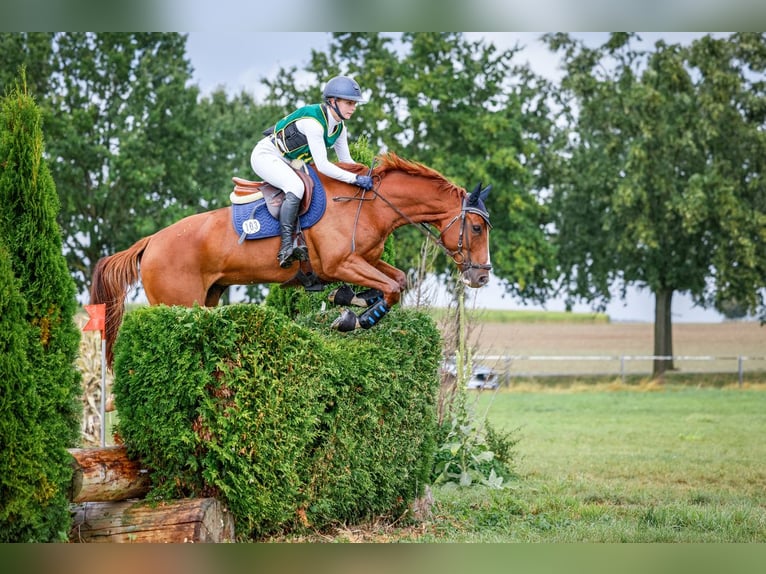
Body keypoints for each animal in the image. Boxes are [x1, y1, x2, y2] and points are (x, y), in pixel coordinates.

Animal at [91, 154, 492, 364]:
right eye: (475, 228)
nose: (482, 278)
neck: (370, 206)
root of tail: (151, 242)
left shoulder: (365, 261)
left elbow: (396, 281)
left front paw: (350, 302)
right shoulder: (341, 263)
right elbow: (392, 287)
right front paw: (355, 319)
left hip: (209, 297)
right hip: (179, 302)